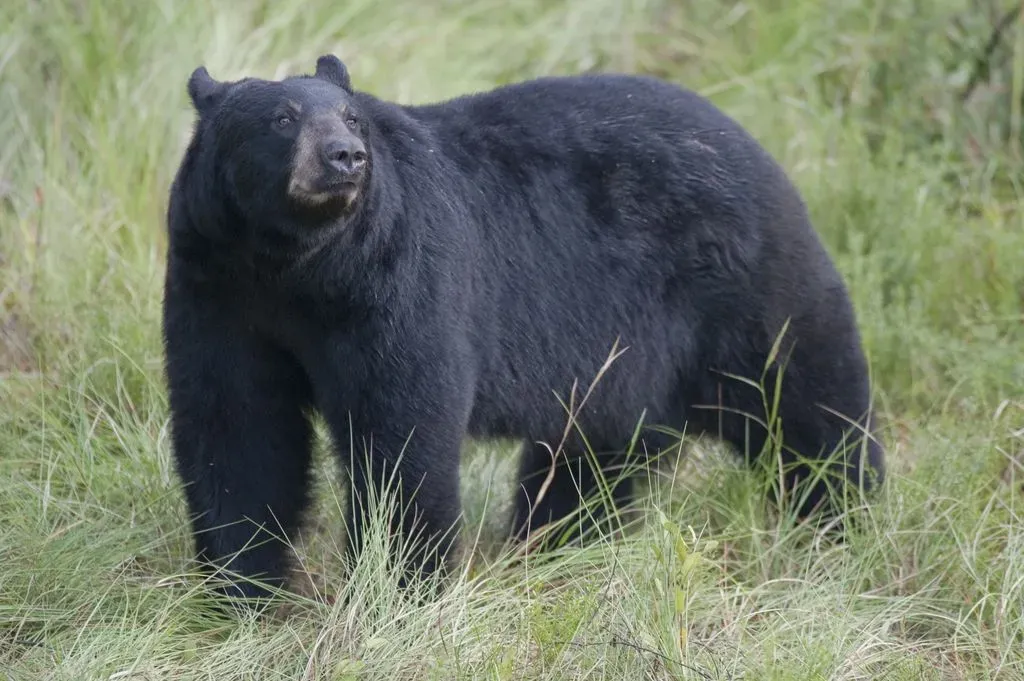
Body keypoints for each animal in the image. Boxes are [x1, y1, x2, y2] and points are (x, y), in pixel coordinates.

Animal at [162, 54, 885, 606]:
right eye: (282, 120)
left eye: (351, 116)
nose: (347, 157)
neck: (297, 268)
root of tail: (755, 146)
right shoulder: (217, 290)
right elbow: (236, 426)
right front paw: (239, 589)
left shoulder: (399, 282)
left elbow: (400, 424)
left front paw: (400, 586)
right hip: (623, 359)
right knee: (592, 456)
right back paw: (557, 544)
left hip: (743, 294)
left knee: (807, 404)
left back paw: (845, 520)